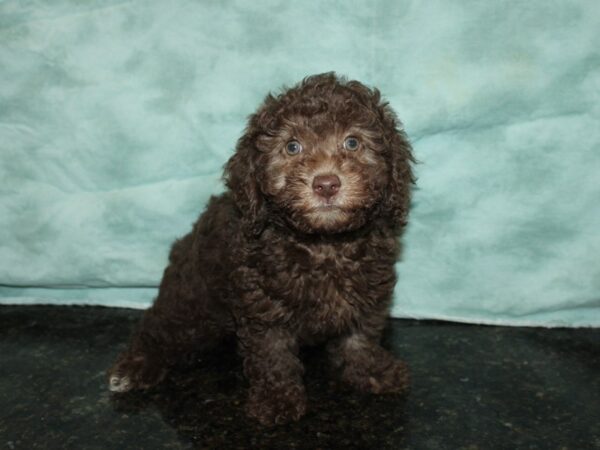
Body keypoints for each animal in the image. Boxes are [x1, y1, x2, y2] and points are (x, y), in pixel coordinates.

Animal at [108, 73, 414, 426]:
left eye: (352, 143)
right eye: (292, 147)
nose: (326, 184)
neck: (324, 242)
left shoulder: (369, 289)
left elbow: (360, 336)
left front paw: (372, 371)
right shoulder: (261, 303)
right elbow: (272, 352)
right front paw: (277, 398)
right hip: (194, 300)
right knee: (160, 326)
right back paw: (135, 366)